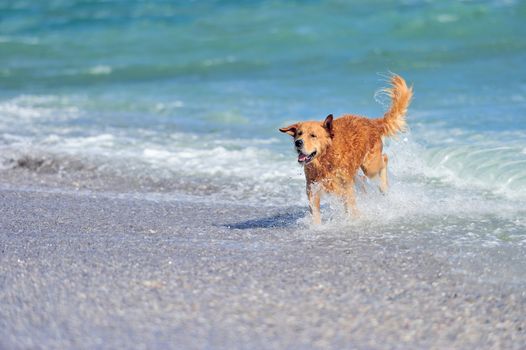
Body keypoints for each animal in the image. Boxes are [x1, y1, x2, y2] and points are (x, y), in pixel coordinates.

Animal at [278, 74, 414, 224]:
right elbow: (315, 213)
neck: (325, 159)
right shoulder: (312, 188)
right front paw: (317, 227)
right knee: (362, 180)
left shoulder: (345, 186)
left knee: (384, 159)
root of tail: (371, 122)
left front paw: (354, 220)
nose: (298, 143)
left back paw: (383, 187)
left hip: (370, 165)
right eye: (299, 133)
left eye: (313, 135)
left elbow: (351, 206)